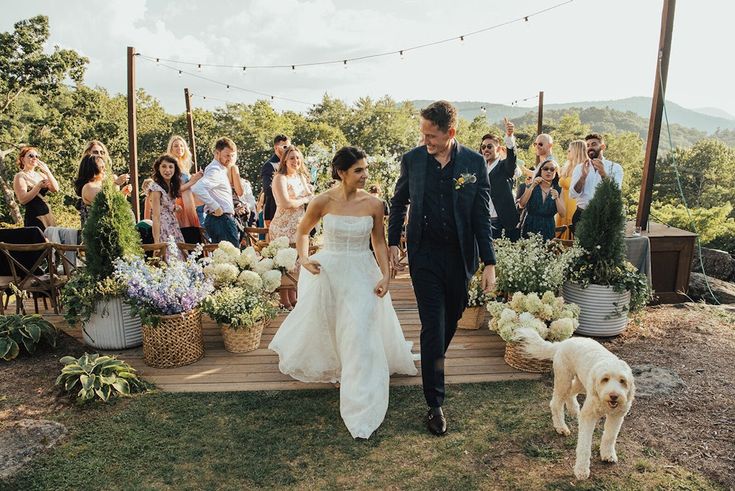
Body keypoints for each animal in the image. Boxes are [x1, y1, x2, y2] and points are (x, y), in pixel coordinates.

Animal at [516, 326, 636, 480]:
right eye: (605, 379)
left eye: (622, 381)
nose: (614, 396)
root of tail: (563, 343)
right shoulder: (588, 417)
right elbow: (584, 446)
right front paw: (581, 470)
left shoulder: (617, 416)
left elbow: (610, 437)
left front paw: (608, 455)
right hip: (564, 379)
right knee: (556, 402)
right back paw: (561, 427)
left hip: (581, 383)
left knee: (571, 392)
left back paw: (573, 408)